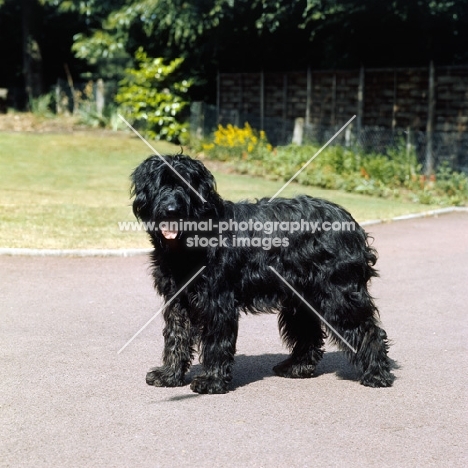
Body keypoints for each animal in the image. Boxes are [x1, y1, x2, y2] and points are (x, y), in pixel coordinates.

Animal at [130, 155, 394, 394]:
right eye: (161, 183)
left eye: (187, 186)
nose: (171, 210)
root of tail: (350, 222)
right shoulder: (178, 299)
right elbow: (176, 336)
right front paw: (169, 375)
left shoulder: (218, 300)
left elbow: (216, 342)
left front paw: (211, 381)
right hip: (301, 297)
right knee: (309, 333)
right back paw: (296, 368)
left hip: (339, 293)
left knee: (368, 330)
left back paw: (377, 374)